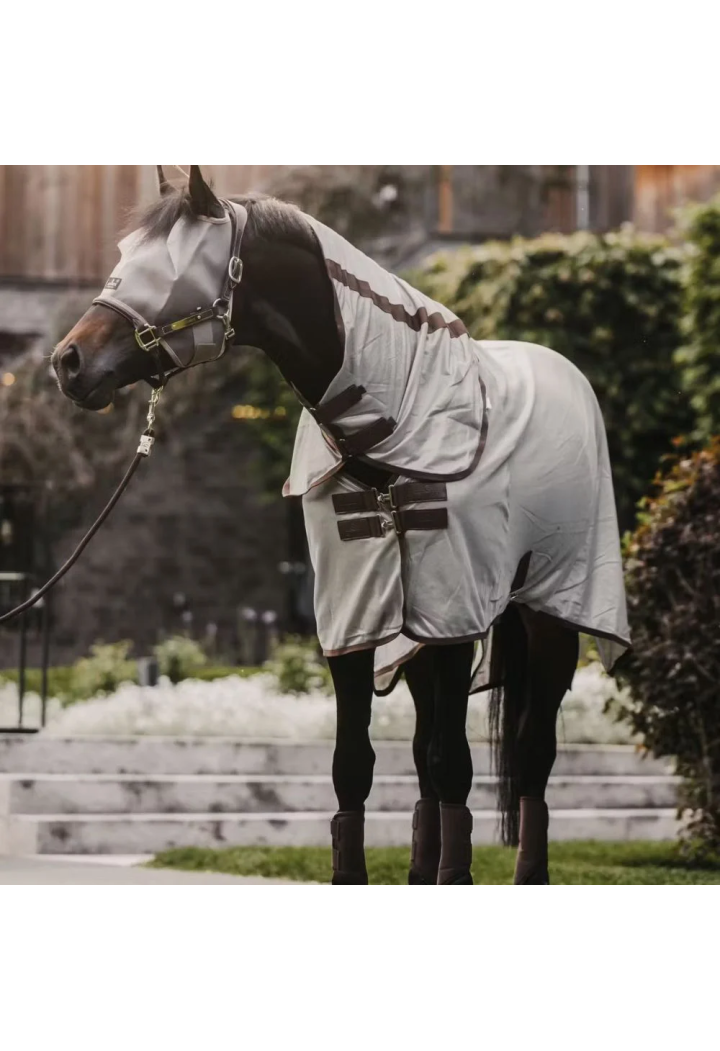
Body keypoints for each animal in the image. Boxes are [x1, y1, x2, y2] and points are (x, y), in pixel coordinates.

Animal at [52, 165, 630, 885]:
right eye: (125, 255)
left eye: (170, 265)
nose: (68, 362)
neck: (392, 429)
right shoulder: (354, 617)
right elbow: (355, 764)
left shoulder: (455, 612)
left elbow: (455, 763)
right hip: (412, 642)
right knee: (425, 755)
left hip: (550, 610)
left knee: (530, 753)